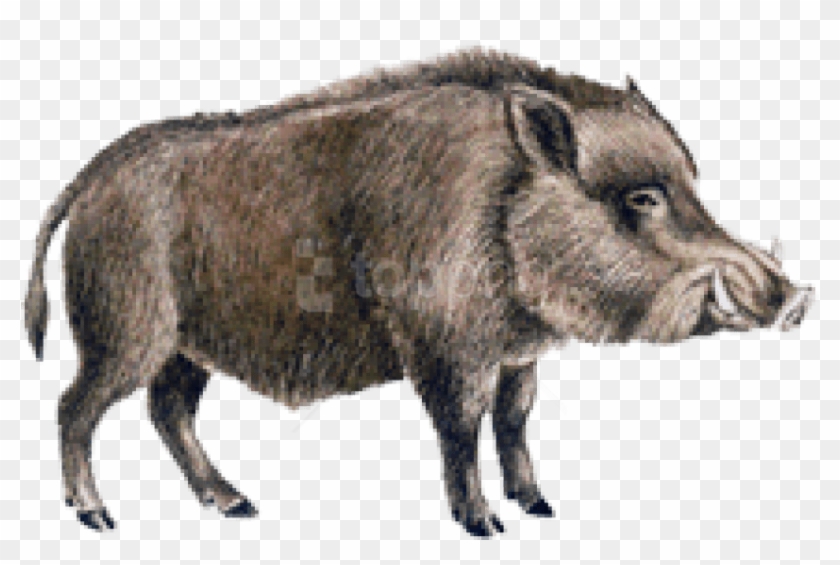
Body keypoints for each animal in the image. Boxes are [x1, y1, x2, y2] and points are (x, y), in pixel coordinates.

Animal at [24, 48, 814, 537]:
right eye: (642, 197)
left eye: (691, 185)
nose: (795, 296)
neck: (503, 208)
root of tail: (89, 181)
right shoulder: (445, 345)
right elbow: (462, 425)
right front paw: (486, 524)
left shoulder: (519, 354)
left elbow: (515, 418)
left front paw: (540, 506)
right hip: (125, 333)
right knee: (75, 407)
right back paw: (97, 517)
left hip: (186, 348)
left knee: (168, 410)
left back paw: (237, 504)